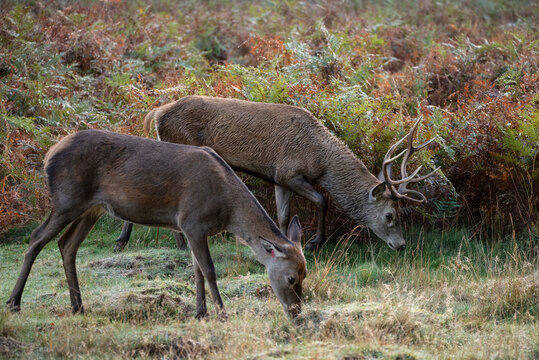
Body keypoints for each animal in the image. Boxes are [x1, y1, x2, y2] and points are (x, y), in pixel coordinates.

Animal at [6, 129, 308, 318]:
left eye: (305, 275)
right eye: (291, 278)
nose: (296, 311)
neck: (227, 210)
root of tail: (48, 154)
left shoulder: (194, 228)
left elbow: (196, 270)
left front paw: (200, 313)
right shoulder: (192, 220)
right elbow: (209, 270)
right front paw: (222, 313)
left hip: (91, 208)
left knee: (66, 245)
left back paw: (78, 306)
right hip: (67, 198)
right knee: (36, 238)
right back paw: (14, 302)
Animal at [115, 96, 438, 253]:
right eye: (390, 215)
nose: (401, 245)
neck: (319, 157)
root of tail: (157, 113)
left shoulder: (276, 178)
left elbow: (283, 215)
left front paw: (285, 241)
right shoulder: (288, 171)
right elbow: (322, 200)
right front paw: (315, 242)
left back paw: (127, 240)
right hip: (180, 144)